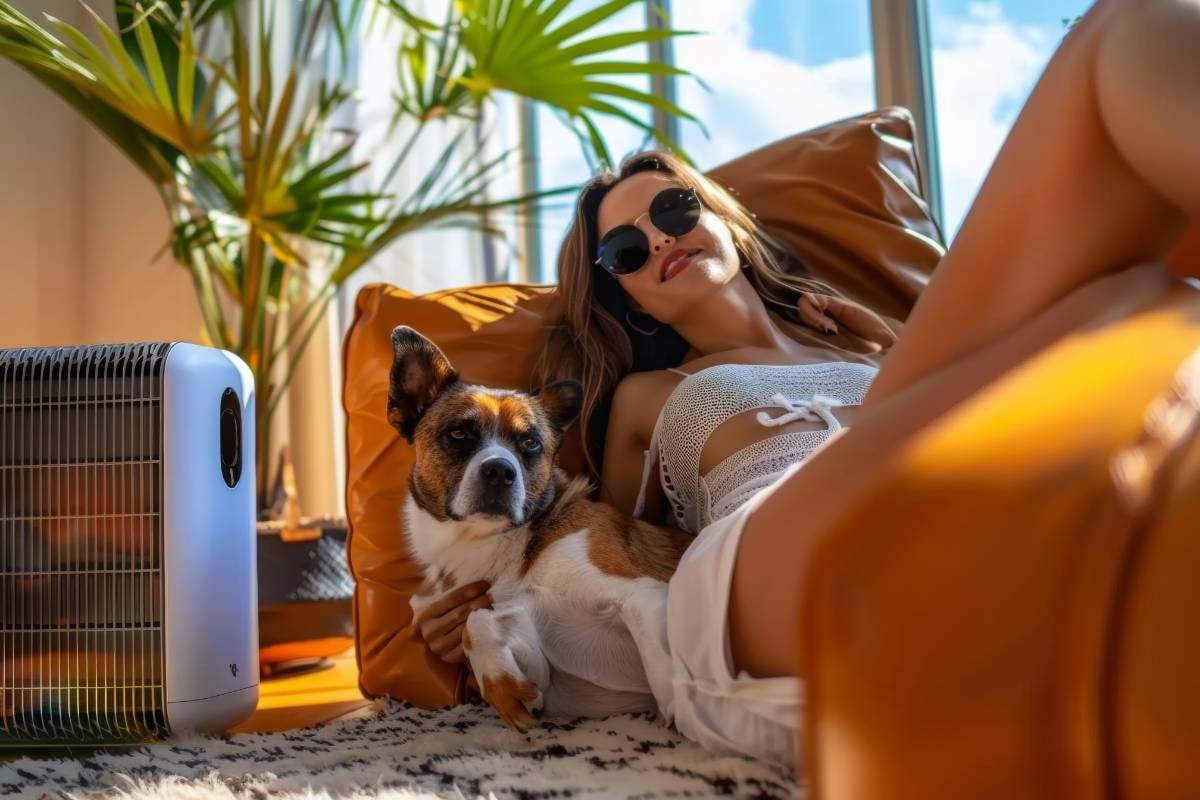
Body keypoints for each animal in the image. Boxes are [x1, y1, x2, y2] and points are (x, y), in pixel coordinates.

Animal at [388, 326, 696, 734]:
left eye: (530, 443)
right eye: (459, 434)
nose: (500, 471)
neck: (504, 547)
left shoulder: (644, 594)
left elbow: (664, 670)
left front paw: (685, 718)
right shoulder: (533, 641)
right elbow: (477, 621)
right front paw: (506, 689)